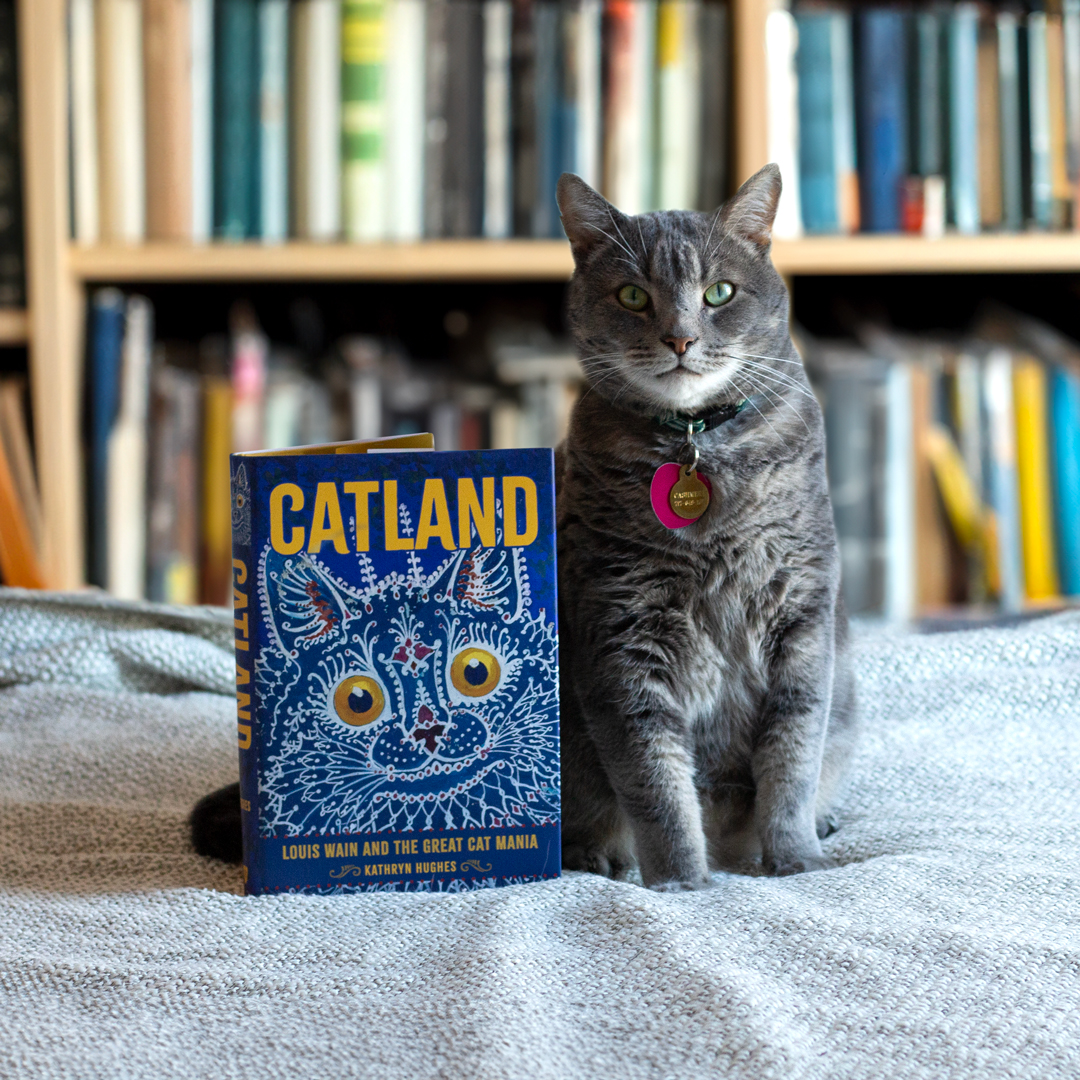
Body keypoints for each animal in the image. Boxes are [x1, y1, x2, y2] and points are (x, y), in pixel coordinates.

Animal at [552, 166, 855, 894]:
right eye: (633, 295)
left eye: (720, 292)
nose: (680, 338)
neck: (697, 447)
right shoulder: (621, 634)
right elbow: (656, 785)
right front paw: (682, 882)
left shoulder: (803, 621)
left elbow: (792, 762)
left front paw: (796, 859)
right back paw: (597, 855)